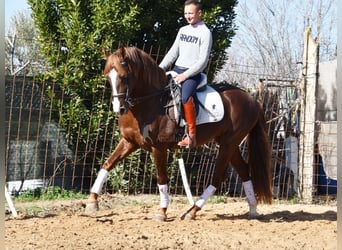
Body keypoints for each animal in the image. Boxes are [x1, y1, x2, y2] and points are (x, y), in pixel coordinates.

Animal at [85, 46, 272, 220]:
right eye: (107, 77)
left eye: (124, 76)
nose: (119, 108)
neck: (149, 102)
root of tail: (252, 100)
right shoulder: (129, 142)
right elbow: (107, 164)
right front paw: (92, 202)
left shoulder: (159, 148)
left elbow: (161, 179)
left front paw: (162, 212)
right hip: (229, 144)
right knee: (244, 171)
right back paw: (253, 210)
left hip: (228, 144)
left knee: (218, 178)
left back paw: (193, 211)